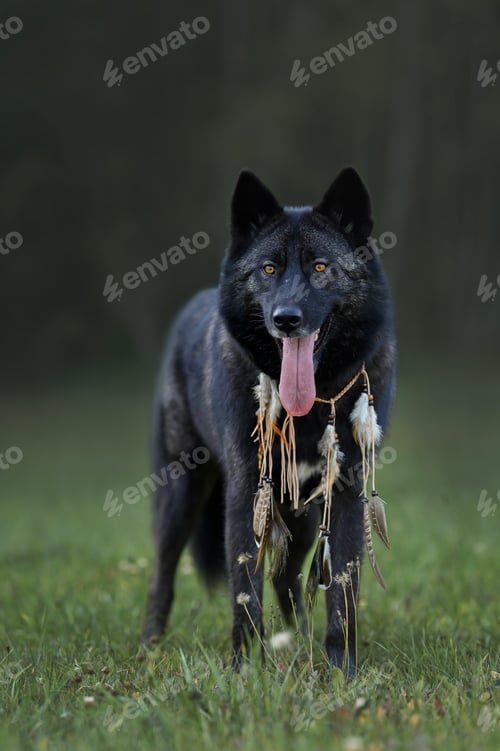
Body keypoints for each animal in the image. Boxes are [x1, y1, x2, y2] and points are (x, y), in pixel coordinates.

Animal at [142, 168, 396, 676]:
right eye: (269, 270)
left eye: (320, 268)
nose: (287, 319)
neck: (309, 405)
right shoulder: (247, 492)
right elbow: (245, 591)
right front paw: (246, 672)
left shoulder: (346, 492)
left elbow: (343, 590)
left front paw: (341, 672)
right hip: (181, 497)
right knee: (163, 574)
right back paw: (149, 645)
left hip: (303, 517)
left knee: (289, 581)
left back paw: (296, 637)